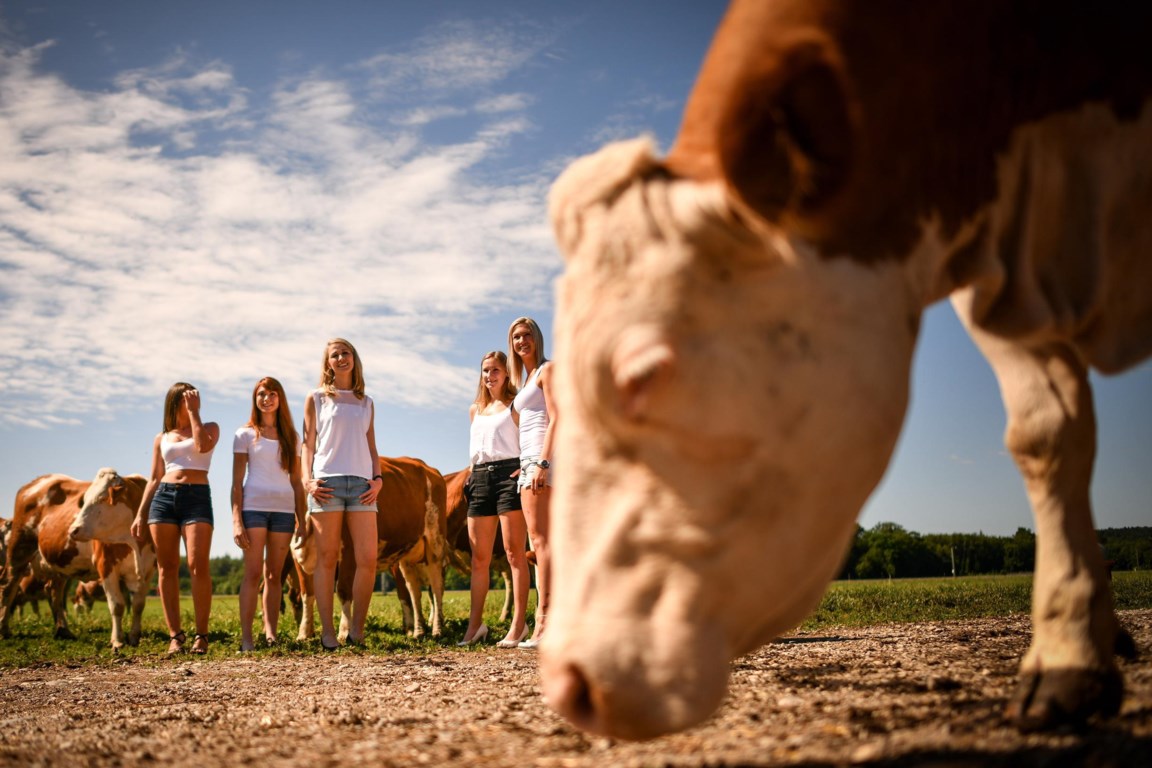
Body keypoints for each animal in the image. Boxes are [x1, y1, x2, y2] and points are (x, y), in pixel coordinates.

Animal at [67, 469, 157, 649]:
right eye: (84, 500)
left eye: (102, 498)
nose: (72, 530)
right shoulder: (106, 567)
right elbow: (116, 605)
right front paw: (117, 640)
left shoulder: (149, 570)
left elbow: (138, 605)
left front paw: (134, 636)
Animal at [290, 455, 446, 644]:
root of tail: (428, 468)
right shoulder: (298, 557)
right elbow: (308, 594)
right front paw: (304, 633)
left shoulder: (349, 551)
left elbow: (343, 590)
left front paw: (344, 632)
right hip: (407, 555)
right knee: (414, 590)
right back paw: (418, 631)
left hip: (435, 541)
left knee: (436, 586)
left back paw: (437, 629)